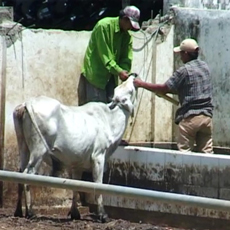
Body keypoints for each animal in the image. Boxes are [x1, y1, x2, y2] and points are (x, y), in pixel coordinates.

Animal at [13, 74, 137, 222]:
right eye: (131, 90)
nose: (134, 75)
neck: (110, 119)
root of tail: (27, 103)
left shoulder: (77, 163)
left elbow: (76, 185)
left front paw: (75, 213)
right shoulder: (98, 156)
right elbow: (98, 184)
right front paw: (103, 215)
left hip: (23, 146)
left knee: (19, 174)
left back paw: (18, 211)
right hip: (39, 149)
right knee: (28, 175)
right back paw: (30, 212)